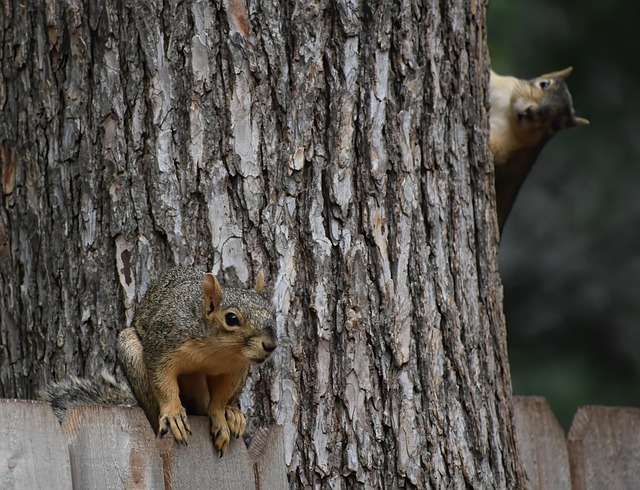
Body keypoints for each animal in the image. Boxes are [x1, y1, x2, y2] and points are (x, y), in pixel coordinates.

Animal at [40, 267, 277, 456]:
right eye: (231, 319)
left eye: (273, 314)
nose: (271, 345)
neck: (218, 350)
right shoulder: (163, 344)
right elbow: (163, 381)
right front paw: (173, 413)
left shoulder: (236, 369)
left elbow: (219, 399)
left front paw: (220, 417)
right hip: (132, 354)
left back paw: (233, 414)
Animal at [489, 66, 589, 232]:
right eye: (544, 84)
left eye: (556, 126)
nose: (531, 112)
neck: (508, 115)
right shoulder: (501, 84)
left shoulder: (516, 154)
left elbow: (497, 156)